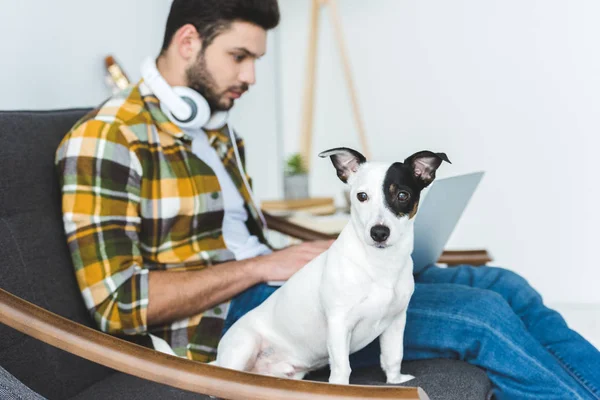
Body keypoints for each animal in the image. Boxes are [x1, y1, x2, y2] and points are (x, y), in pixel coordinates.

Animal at [213, 147, 448, 384]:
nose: (379, 232)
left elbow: (393, 356)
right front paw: (340, 387)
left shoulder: (396, 322)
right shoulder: (339, 323)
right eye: (362, 196)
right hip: (244, 345)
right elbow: (342, 368)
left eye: (402, 195)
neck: (380, 264)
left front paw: (396, 381)